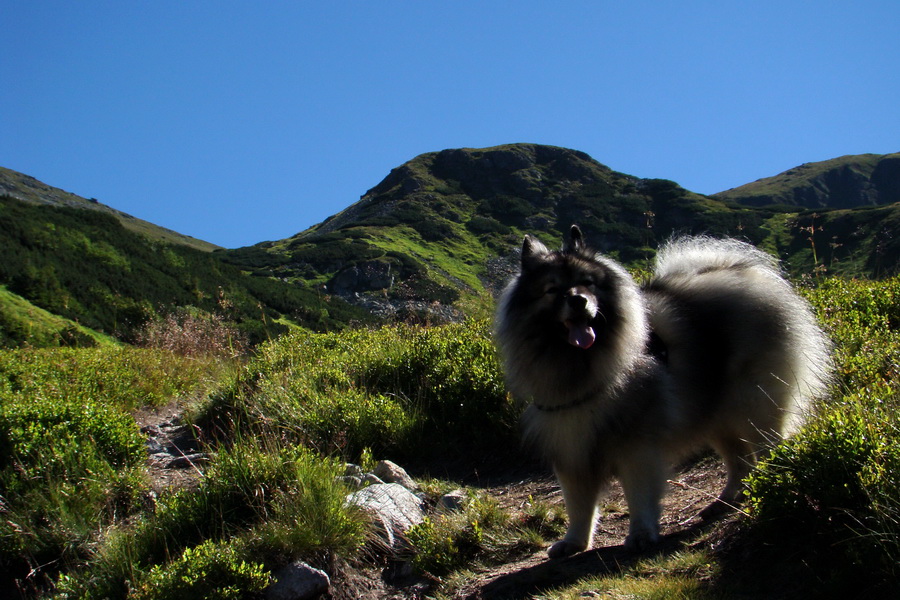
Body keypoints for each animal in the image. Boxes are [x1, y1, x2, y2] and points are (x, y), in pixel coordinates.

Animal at [496, 225, 832, 556]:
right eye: (552, 290)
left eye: (587, 283)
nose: (579, 301)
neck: (581, 365)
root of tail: (738, 273)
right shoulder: (571, 449)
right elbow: (579, 506)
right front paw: (574, 542)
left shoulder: (637, 447)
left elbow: (639, 495)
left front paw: (641, 534)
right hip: (717, 417)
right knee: (740, 462)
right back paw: (726, 501)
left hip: (752, 408)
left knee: (765, 449)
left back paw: (771, 483)